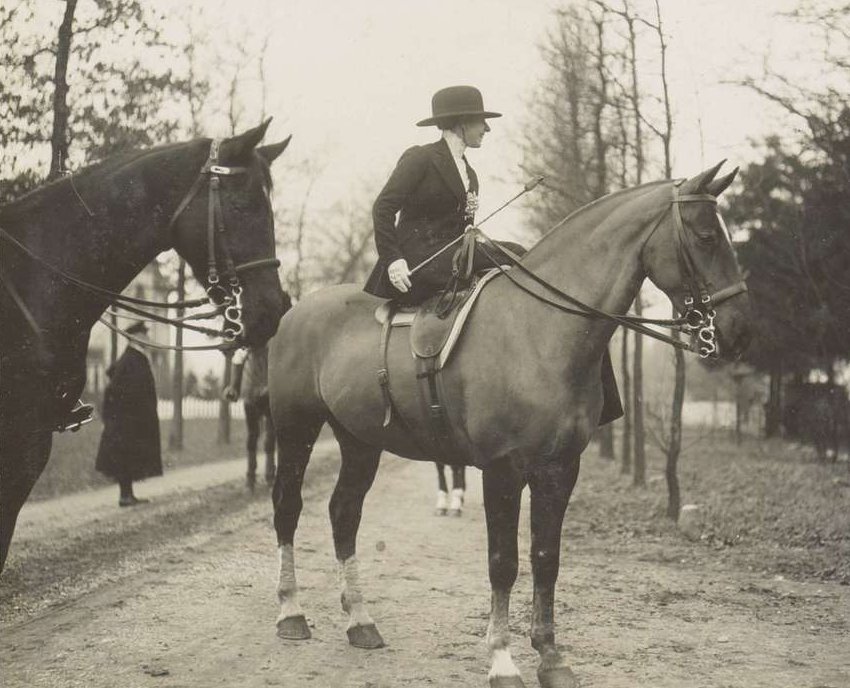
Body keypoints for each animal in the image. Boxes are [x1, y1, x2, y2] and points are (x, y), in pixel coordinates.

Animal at [267, 162, 752, 688]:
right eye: (706, 236)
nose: (738, 332)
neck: (539, 328)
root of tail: (294, 311)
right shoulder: (502, 470)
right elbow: (504, 563)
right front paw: (502, 659)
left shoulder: (560, 469)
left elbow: (545, 559)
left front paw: (551, 657)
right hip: (296, 430)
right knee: (288, 507)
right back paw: (291, 613)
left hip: (359, 441)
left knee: (343, 513)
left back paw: (360, 621)